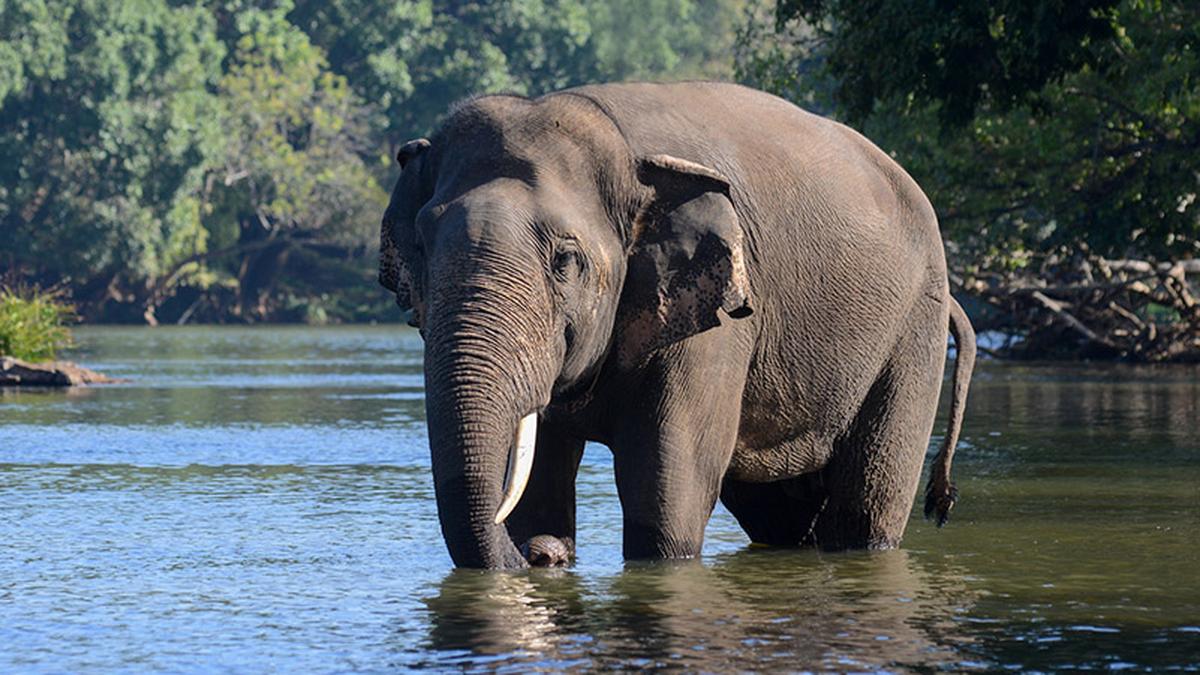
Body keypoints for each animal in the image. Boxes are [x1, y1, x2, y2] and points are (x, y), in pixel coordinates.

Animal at [379, 81, 976, 569]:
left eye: (566, 260)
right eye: (422, 247)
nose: (541, 557)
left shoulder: (720, 318)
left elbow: (667, 484)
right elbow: (540, 480)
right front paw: (541, 538)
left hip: (912, 330)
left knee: (866, 506)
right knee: (776, 512)